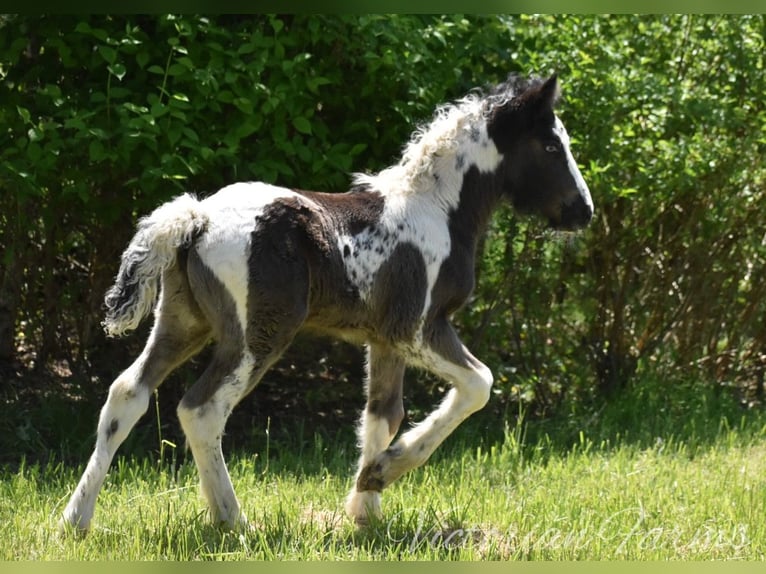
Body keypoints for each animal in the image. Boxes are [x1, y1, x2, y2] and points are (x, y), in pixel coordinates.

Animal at [63, 75, 596, 536]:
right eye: (552, 146)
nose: (583, 211)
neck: (439, 210)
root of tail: (197, 217)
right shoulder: (418, 328)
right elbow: (479, 384)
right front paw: (384, 474)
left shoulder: (383, 340)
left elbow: (383, 415)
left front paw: (366, 509)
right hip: (257, 335)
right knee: (202, 410)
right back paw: (233, 521)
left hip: (182, 321)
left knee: (127, 393)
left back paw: (76, 520)